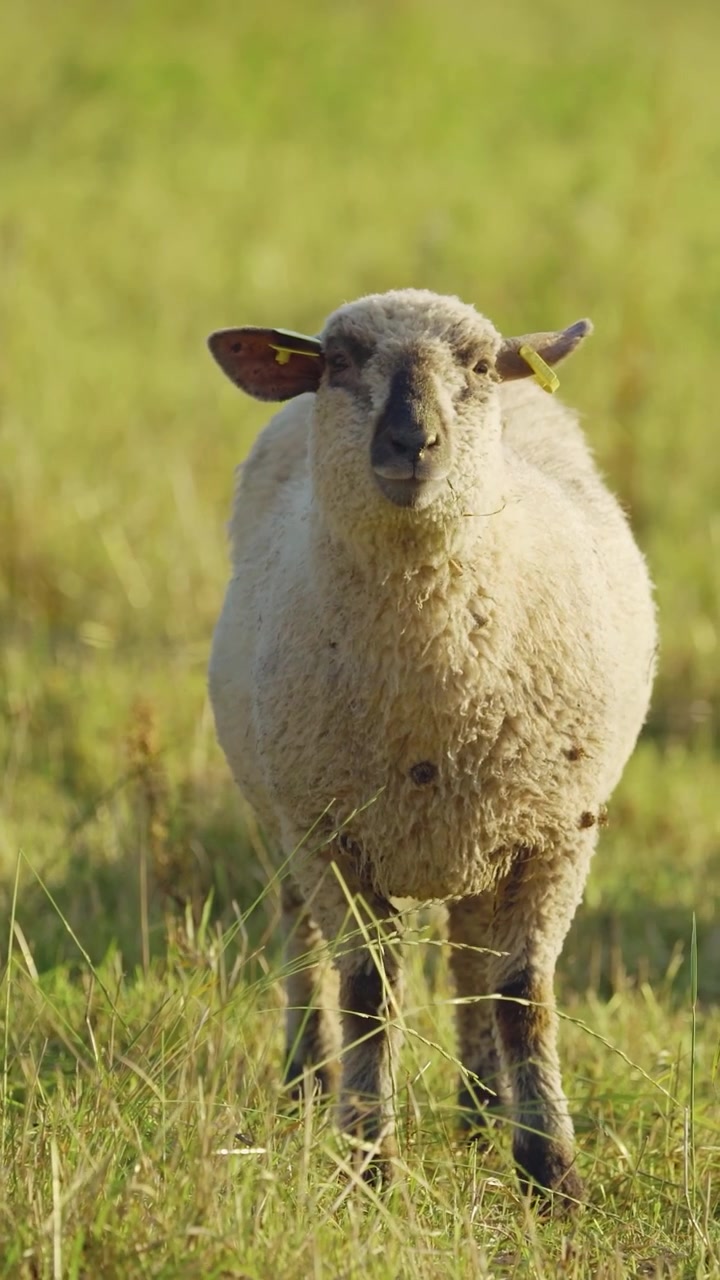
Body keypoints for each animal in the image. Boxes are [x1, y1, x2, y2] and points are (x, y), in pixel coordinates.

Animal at [207, 289, 656, 1206]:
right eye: (340, 362)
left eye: (478, 366)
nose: (412, 443)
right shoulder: (333, 837)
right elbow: (369, 993)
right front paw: (367, 1162)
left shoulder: (556, 835)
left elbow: (523, 993)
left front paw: (551, 1172)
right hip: (285, 815)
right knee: (302, 938)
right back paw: (308, 1080)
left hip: (484, 825)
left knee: (472, 962)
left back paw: (482, 1108)